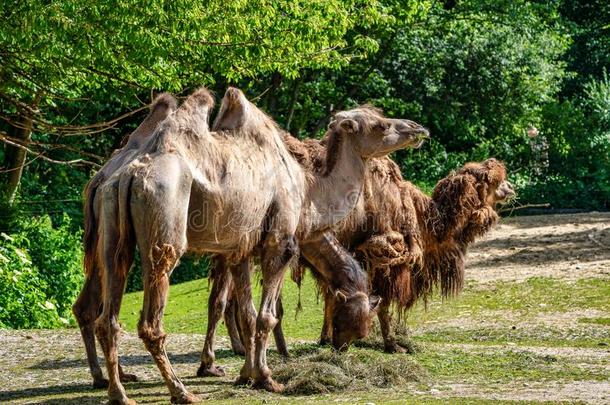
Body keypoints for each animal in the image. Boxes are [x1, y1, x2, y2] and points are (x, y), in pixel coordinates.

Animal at [94, 87, 428, 402]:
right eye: (380, 125)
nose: (418, 128)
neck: (308, 192)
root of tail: (130, 173)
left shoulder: (240, 250)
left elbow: (248, 314)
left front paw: (247, 376)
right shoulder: (280, 243)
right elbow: (267, 315)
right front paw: (268, 378)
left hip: (112, 230)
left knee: (107, 312)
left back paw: (119, 393)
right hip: (164, 225)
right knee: (151, 320)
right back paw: (181, 392)